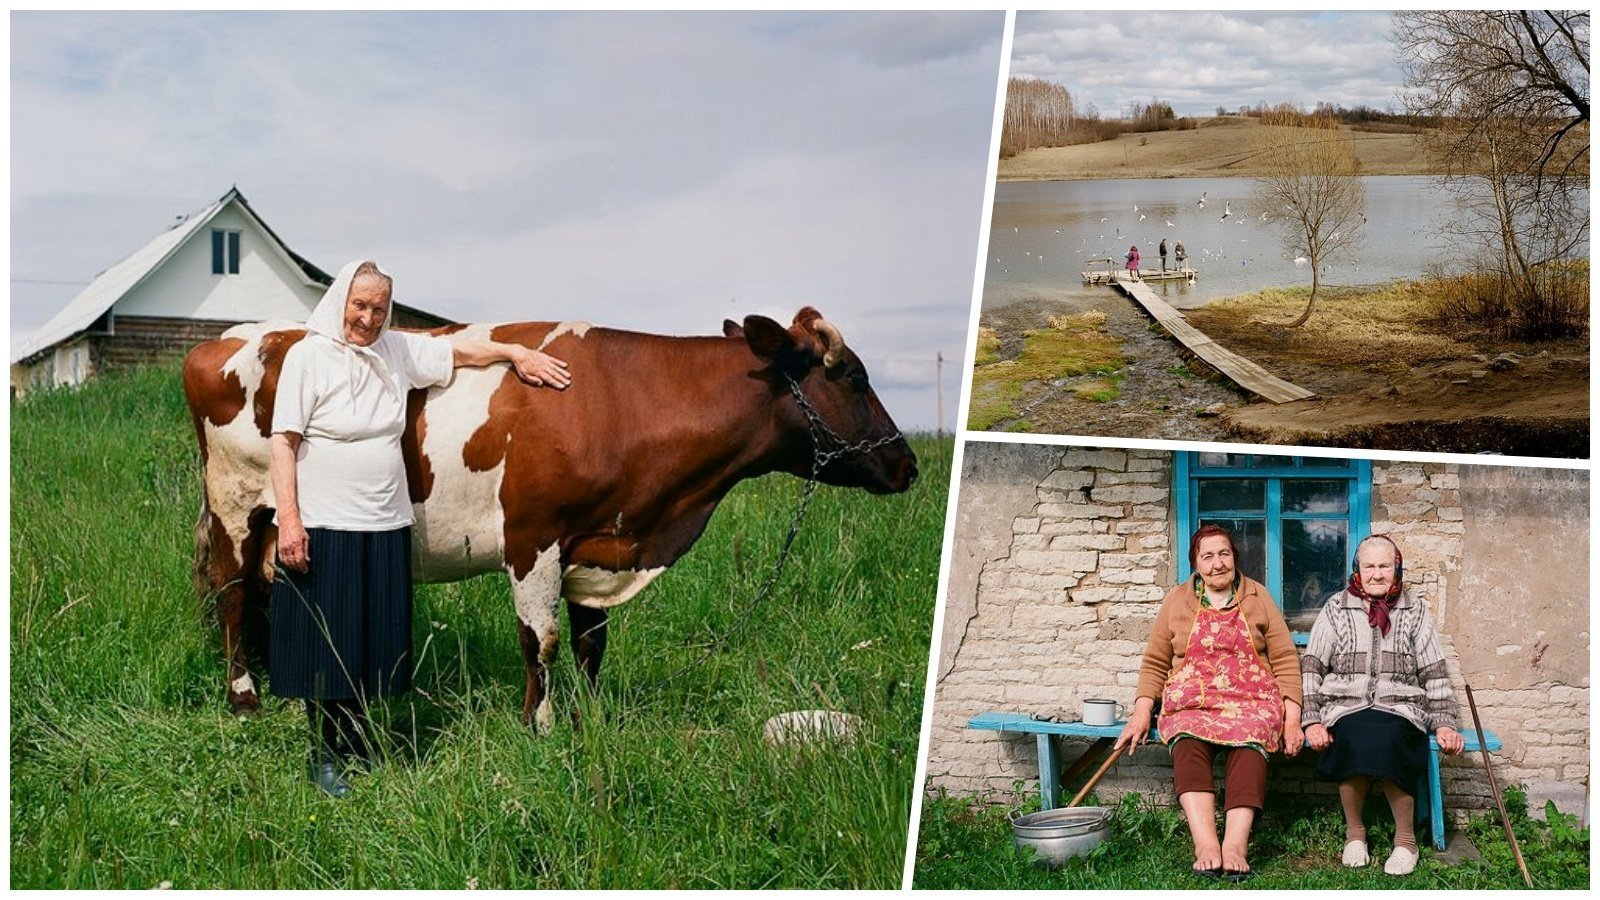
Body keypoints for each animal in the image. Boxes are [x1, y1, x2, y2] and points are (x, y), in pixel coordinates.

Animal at [183, 307, 921, 730]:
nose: (908, 464)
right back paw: (245, 697)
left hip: (279, 525)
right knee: (233, 597)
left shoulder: (598, 540)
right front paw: (538, 727)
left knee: (272, 595)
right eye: (851, 375)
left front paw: (588, 719)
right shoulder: (533, 537)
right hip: (237, 505)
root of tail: (232, 335)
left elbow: (593, 644)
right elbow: (541, 642)